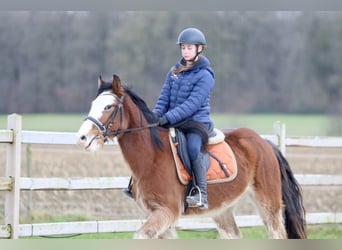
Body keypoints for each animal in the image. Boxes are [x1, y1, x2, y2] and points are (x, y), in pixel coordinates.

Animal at [77, 74, 308, 238]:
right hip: (223, 210)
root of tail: (265, 143)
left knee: (277, 233)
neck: (151, 158)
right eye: (93, 104)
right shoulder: (160, 217)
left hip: (268, 204)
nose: (82, 137)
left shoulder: (166, 212)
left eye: (108, 106)